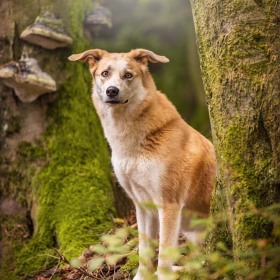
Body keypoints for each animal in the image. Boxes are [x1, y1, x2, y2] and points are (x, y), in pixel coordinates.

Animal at [68, 49, 217, 278]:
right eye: (105, 73)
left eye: (128, 75)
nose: (112, 91)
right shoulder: (142, 205)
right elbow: (145, 251)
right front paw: (143, 276)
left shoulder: (169, 203)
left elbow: (164, 253)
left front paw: (163, 275)